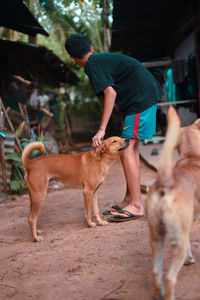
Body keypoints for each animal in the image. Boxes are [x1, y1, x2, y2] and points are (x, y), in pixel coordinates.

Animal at [145, 106, 200, 300]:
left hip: (157, 237)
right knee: (170, 278)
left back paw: (158, 293)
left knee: (156, 272)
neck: (191, 154)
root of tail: (165, 183)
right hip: (176, 241)